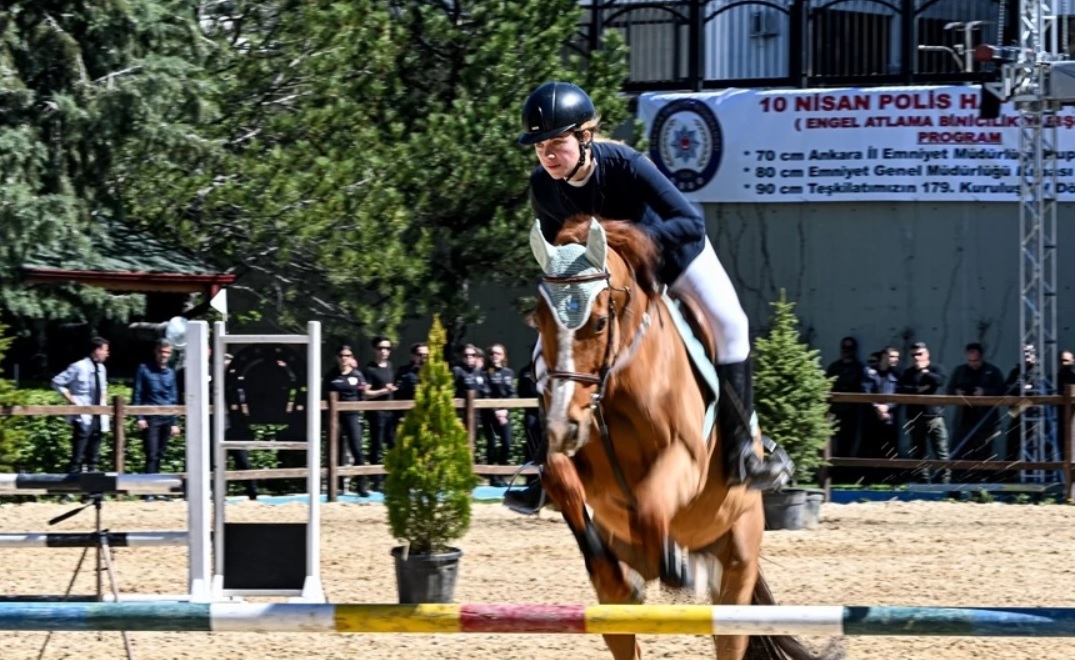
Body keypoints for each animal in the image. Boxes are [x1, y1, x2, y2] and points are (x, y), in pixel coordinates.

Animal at [531, 217, 821, 660]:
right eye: (539, 320)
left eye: (598, 322)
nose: (563, 426)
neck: (616, 382)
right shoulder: (573, 453)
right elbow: (559, 476)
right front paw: (614, 570)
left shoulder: (685, 458)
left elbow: (650, 503)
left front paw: (679, 568)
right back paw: (623, 578)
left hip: (738, 568)